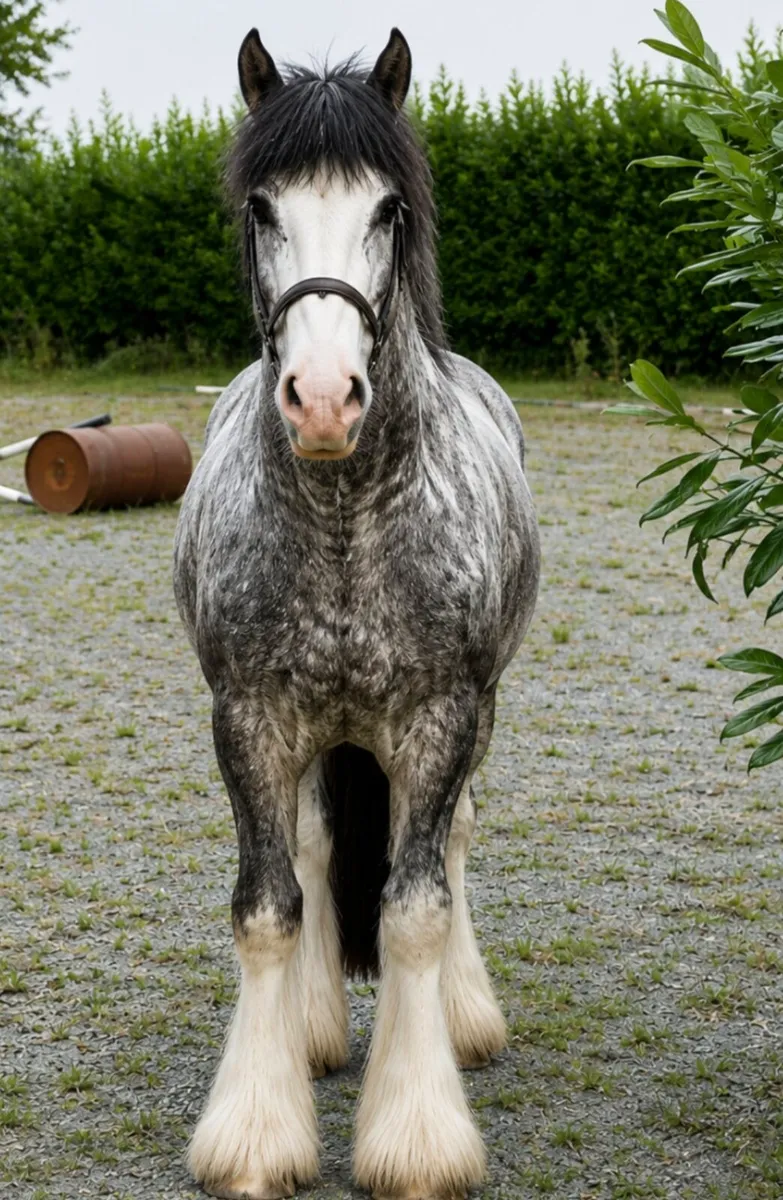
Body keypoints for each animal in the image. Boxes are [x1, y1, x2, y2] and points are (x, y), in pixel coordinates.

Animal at [173, 26, 540, 1200]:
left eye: (388, 208)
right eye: (262, 208)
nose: (325, 396)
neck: (345, 527)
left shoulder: (441, 718)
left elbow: (415, 909)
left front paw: (417, 1139)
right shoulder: (246, 718)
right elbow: (268, 906)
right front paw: (255, 1131)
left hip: (479, 714)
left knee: (449, 846)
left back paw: (463, 1018)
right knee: (314, 847)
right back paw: (317, 1029)